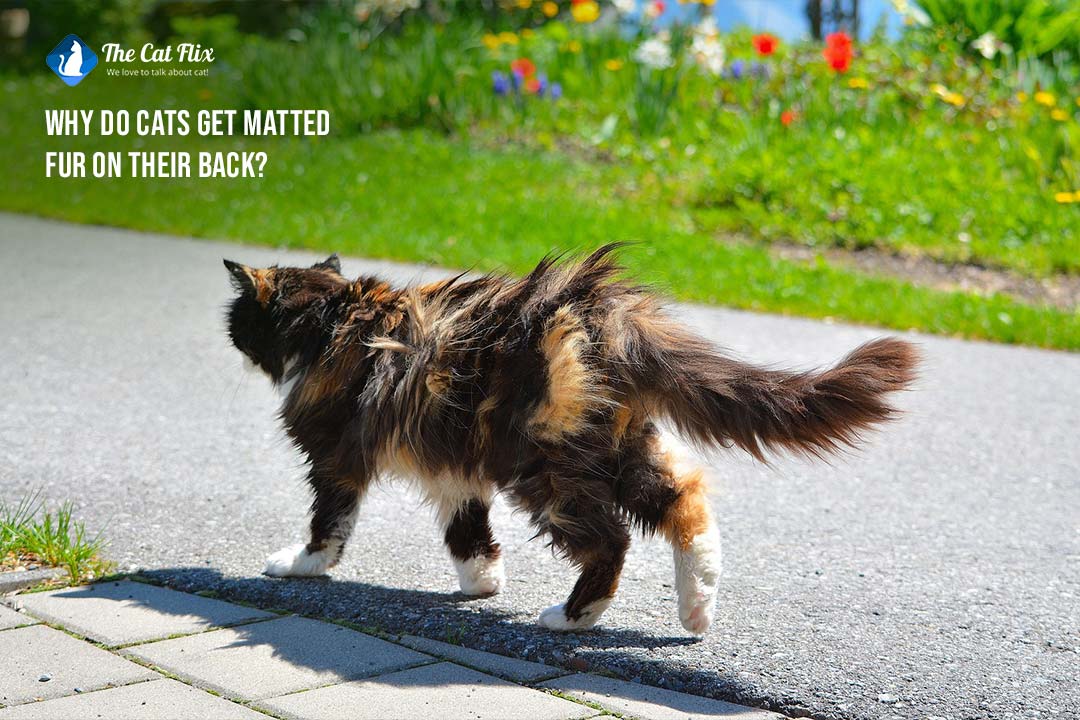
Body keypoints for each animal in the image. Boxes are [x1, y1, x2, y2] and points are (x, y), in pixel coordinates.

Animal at [223, 249, 915, 634]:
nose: (233, 343)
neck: (333, 319)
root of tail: (609, 315)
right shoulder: (456, 466)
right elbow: (467, 531)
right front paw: (482, 583)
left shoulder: (335, 455)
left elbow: (329, 523)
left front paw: (300, 566)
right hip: (614, 446)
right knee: (686, 503)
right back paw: (697, 609)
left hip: (543, 465)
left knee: (611, 540)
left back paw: (571, 618)